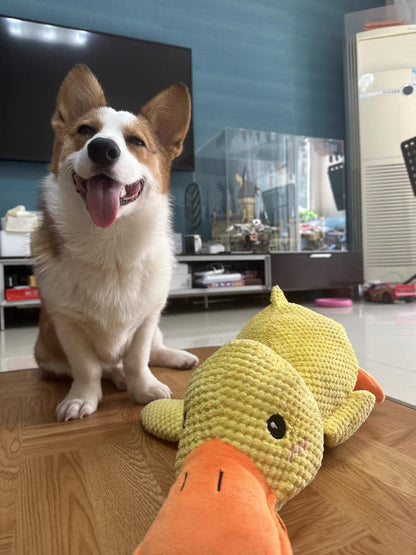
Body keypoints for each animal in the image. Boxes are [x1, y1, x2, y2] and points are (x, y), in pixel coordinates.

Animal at [32, 64, 198, 422]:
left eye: (137, 141)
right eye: (85, 131)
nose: (102, 148)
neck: (109, 242)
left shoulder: (147, 320)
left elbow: (138, 358)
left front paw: (144, 388)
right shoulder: (68, 326)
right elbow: (87, 368)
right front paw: (82, 398)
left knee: (155, 349)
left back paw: (177, 357)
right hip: (47, 354)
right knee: (105, 367)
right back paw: (117, 375)